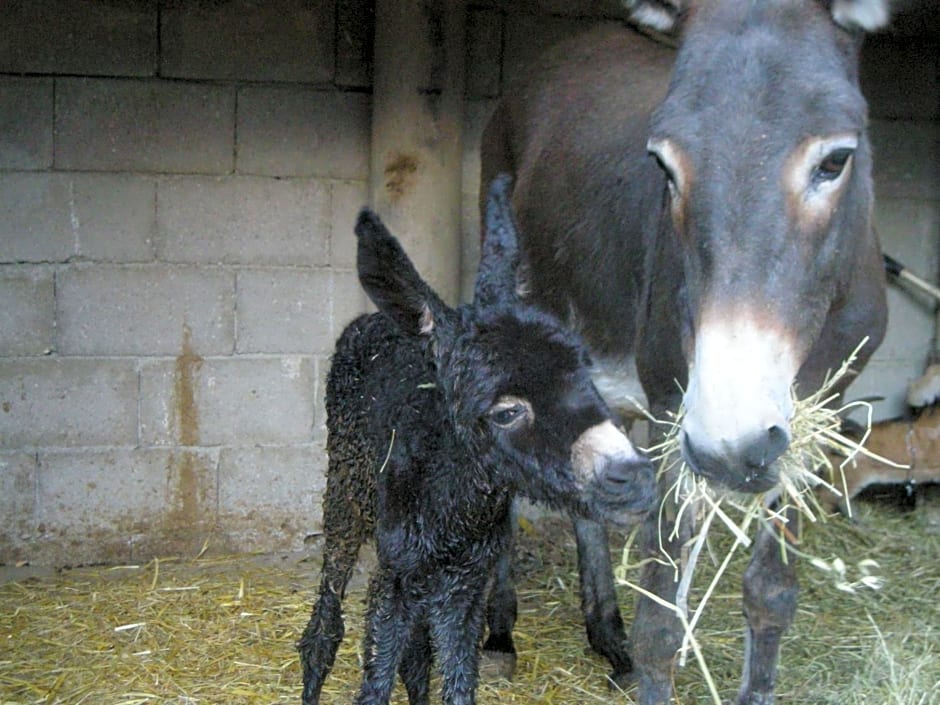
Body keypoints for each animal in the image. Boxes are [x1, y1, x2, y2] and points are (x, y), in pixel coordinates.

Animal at [298, 177, 656, 704]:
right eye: (507, 411)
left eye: (585, 373)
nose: (631, 477)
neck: (452, 508)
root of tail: (372, 320)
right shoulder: (396, 575)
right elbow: (376, 680)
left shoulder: (465, 582)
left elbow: (453, 678)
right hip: (344, 497)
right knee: (325, 624)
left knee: (416, 653)